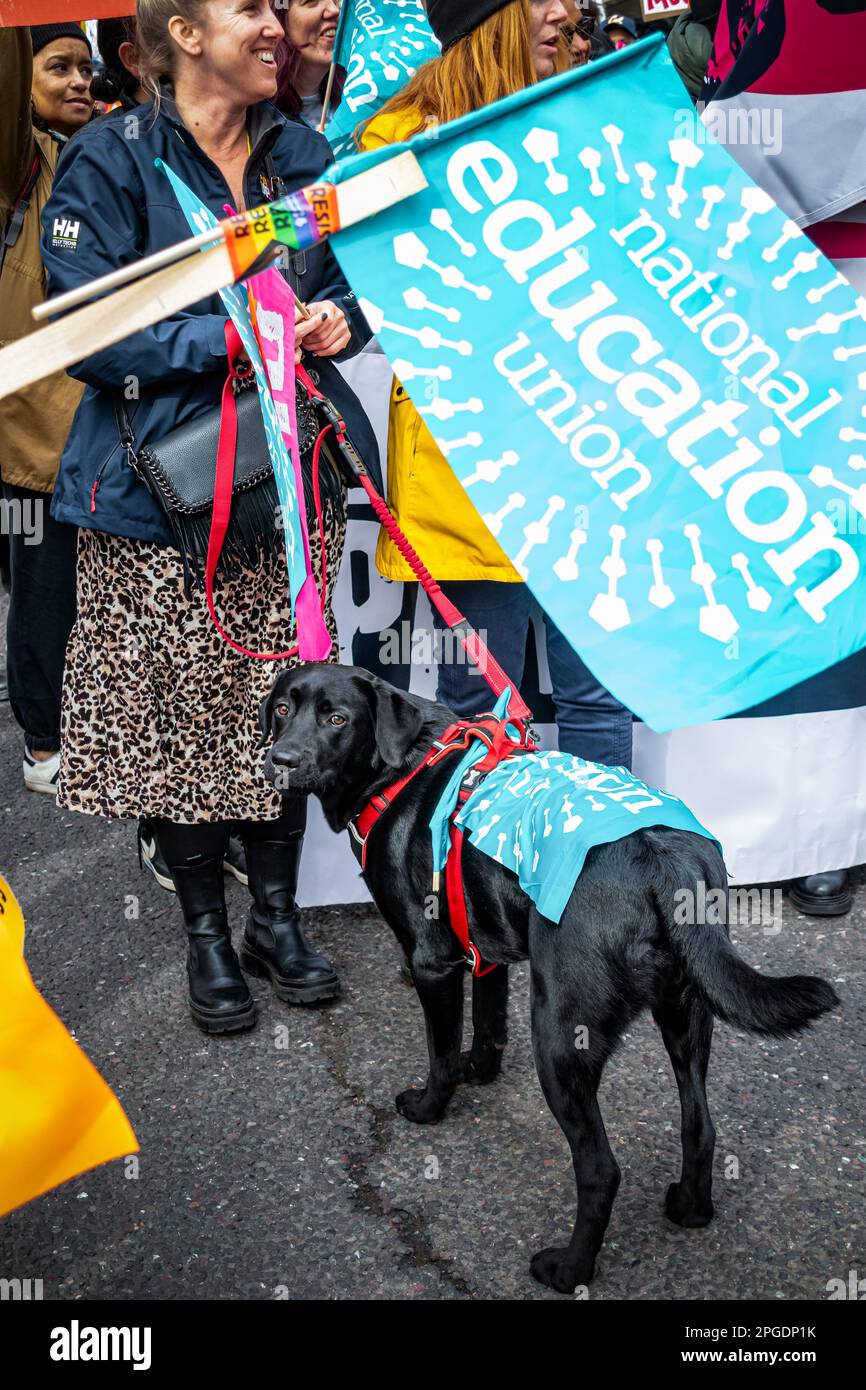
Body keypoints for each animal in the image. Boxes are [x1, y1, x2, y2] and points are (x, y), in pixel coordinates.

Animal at [258, 661, 839, 1289]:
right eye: (284, 709)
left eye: (338, 718)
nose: (281, 759)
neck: (404, 764)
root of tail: (660, 858)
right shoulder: (483, 947)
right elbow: (487, 1024)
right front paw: (480, 1071)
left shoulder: (432, 962)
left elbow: (440, 1051)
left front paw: (430, 1106)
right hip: (687, 1011)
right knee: (700, 1125)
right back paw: (690, 1208)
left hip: (561, 1034)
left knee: (601, 1169)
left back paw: (569, 1268)